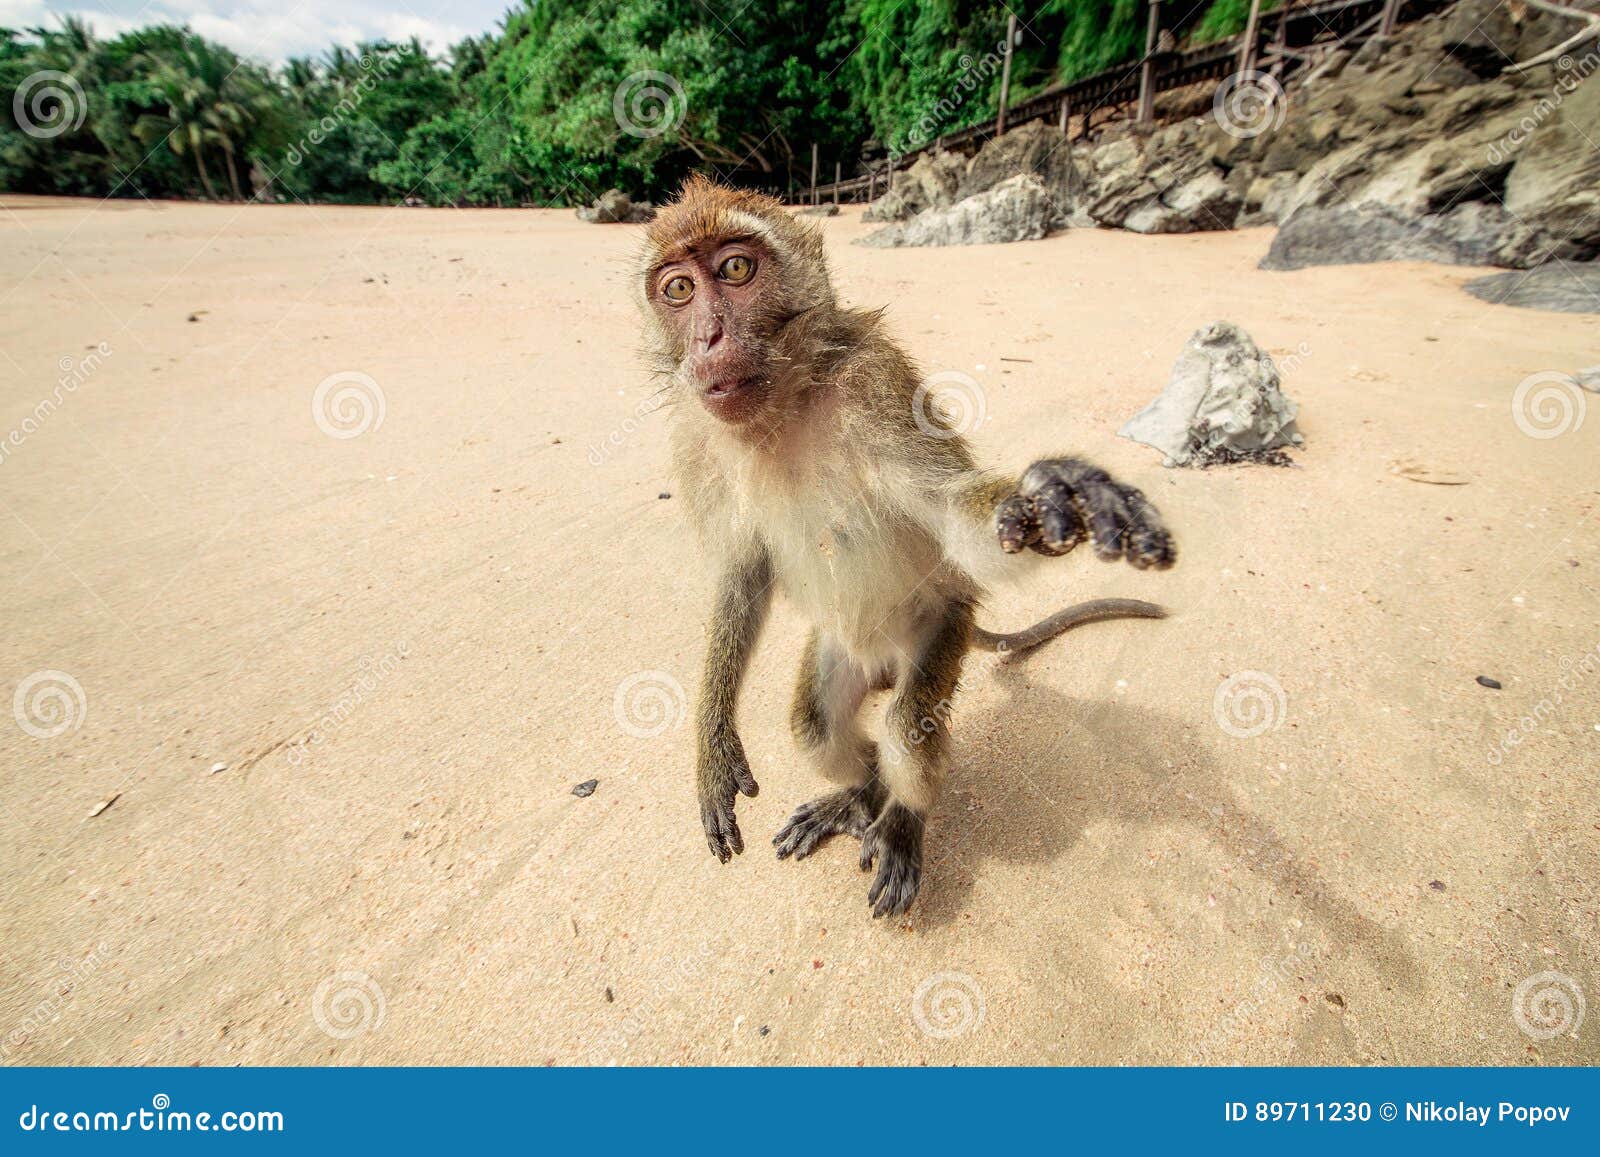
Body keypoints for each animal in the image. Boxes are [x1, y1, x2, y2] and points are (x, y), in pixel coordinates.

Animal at [636, 172, 1177, 921]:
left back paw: (902, 821)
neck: (782, 407)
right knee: (814, 723)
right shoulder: (695, 440)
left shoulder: (878, 385)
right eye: (679, 288)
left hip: (944, 627)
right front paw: (712, 745)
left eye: (737, 269)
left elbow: (953, 515)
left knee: (905, 724)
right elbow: (741, 574)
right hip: (843, 651)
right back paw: (860, 792)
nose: (708, 336)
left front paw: (1052, 498)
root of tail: (886, 661)